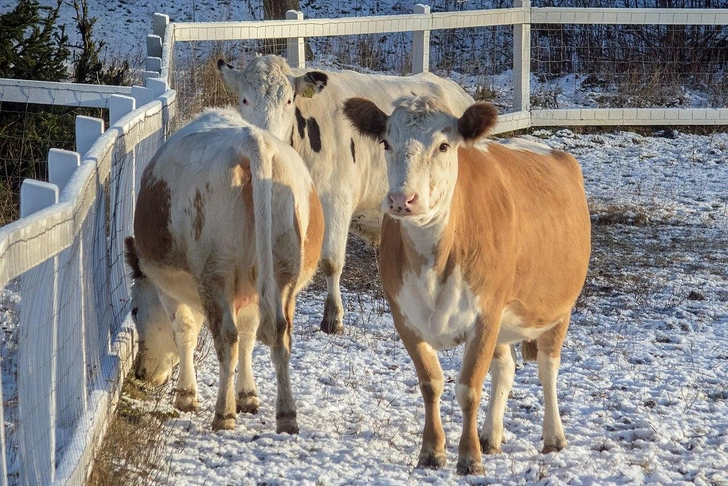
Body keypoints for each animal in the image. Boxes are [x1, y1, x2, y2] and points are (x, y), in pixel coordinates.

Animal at [126, 107, 324, 432]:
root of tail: (252, 142)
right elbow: (248, 335)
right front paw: (247, 396)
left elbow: (185, 331)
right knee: (279, 332)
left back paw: (223, 413)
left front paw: (186, 395)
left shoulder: (170, 288)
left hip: (214, 273)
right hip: (282, 272)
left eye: (135, 310)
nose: (141, 373)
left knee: (226, 337)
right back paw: (286, 415)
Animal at [342, 95, 592, 474]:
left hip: (558, 307)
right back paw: (491, 436)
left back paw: (553, 437)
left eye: (444, 145)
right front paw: (432, 451)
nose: (402, 200)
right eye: (386, 142)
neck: (434, 261)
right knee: (505, 369)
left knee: (548, 368)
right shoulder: (405, 316)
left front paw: (469, 457)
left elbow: (469, 388)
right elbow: (431, 383)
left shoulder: (485, 315)